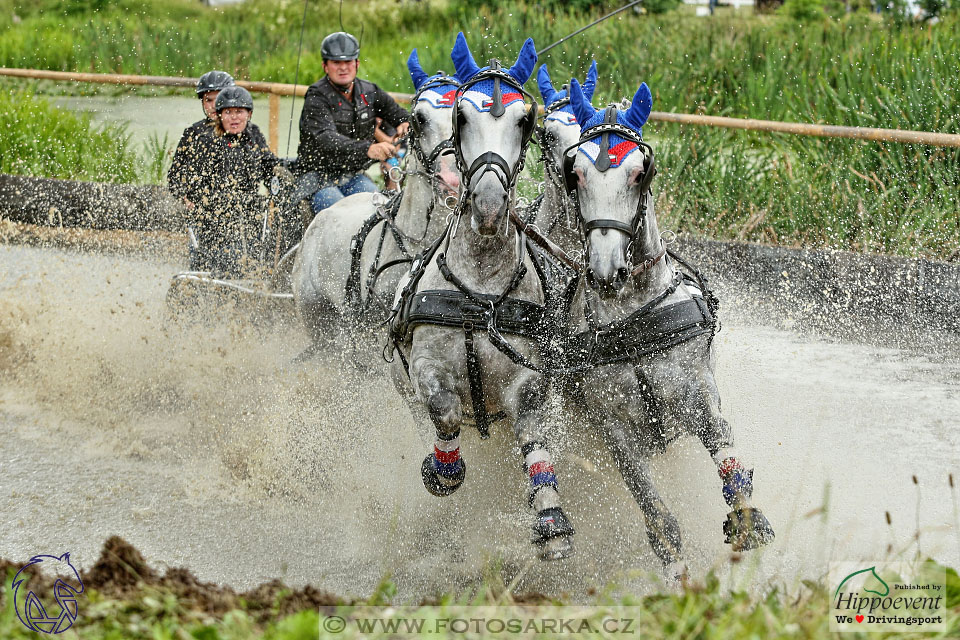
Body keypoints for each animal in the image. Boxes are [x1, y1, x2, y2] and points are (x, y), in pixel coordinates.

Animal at [386, 32, 572, 560]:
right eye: (462, 117)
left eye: (524, 121)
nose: (488, 207)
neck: (481, 294)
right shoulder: (427, 366)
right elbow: (445, 409)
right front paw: (443, 471)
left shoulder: (527, 379)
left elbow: (531, 430)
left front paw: (550, 517)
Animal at [560, 77, 776, 576]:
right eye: (574, 173)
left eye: (641, 172)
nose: (607, 272)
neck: (634, 318)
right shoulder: (616, 433)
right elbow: (660, 522)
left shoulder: (698, 394)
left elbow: (735, 482)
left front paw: (750, 531)